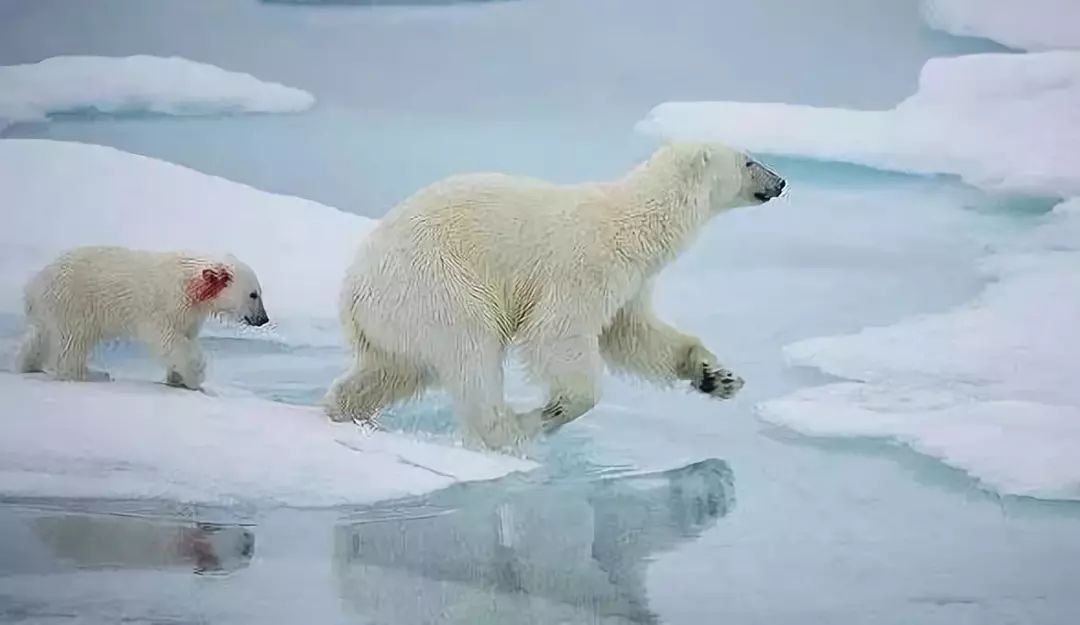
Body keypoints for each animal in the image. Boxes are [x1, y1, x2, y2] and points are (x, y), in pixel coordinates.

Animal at [326, 141, 786, 449]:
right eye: (749, 161)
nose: (781, 181)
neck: (635, 223)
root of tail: (352, 291)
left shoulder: (631, 283)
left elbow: (633, 334)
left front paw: (717, 377)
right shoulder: (585, 266)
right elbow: (557, 333)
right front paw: (552, 411)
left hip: (393, 319)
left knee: (394, 369)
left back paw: (345, 410)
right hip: (434, 287)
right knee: (471, 352)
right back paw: (510, 430)